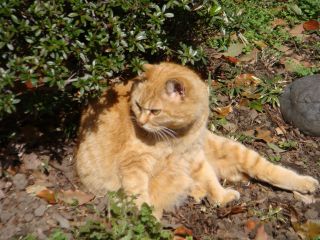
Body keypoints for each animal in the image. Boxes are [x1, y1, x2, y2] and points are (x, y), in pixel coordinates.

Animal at [76, 62, 318, 218]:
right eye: (137, 105)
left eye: (154, 111)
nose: (141, 122)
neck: (179, 136)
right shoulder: (134, 164)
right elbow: (138, 192)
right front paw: (147, 215)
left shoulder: (195, 157)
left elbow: (210, 179)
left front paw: (220, 196)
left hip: (233, 148)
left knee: (268, 170)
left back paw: (306, 183)